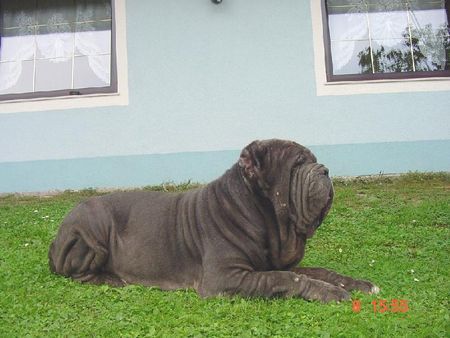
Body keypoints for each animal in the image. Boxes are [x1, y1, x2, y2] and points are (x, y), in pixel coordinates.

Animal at [50, 139, 380, 302]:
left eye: (314, 160)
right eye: (298, 164)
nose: (324, 169)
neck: (263, 217)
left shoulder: (277, 263)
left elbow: (319, 271)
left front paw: (360, 284)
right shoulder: (225, 278)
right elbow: (286, 279)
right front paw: (331, 293)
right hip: (93, 227)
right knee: (78, 273)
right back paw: (113, 279)